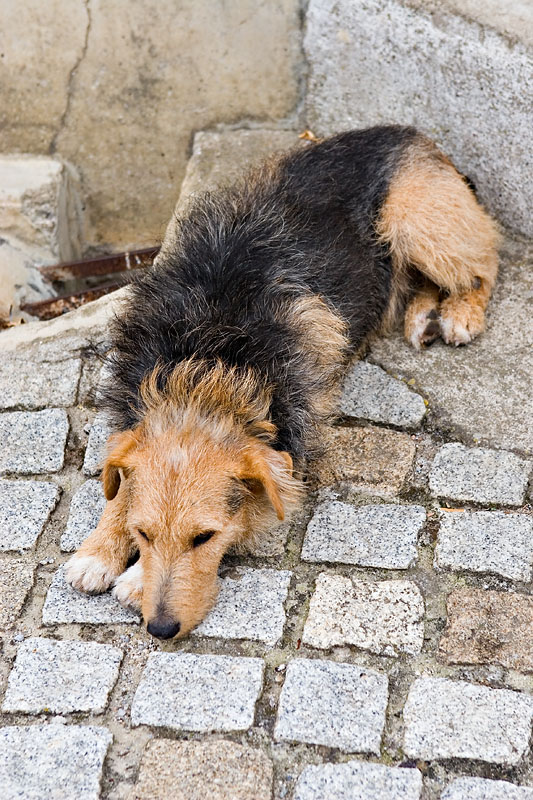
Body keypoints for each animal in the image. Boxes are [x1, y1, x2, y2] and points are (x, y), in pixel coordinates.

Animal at [65, 126, 498, 636]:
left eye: (204, 537)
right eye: (143, 533)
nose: (161, 629)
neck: (208, 365)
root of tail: (412, 134)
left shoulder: (292, 463)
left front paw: (133, 581)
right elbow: (122, 485)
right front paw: (98, 550)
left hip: (421, 223)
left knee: (484, 264)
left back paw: (459, 314)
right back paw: (424, 314)